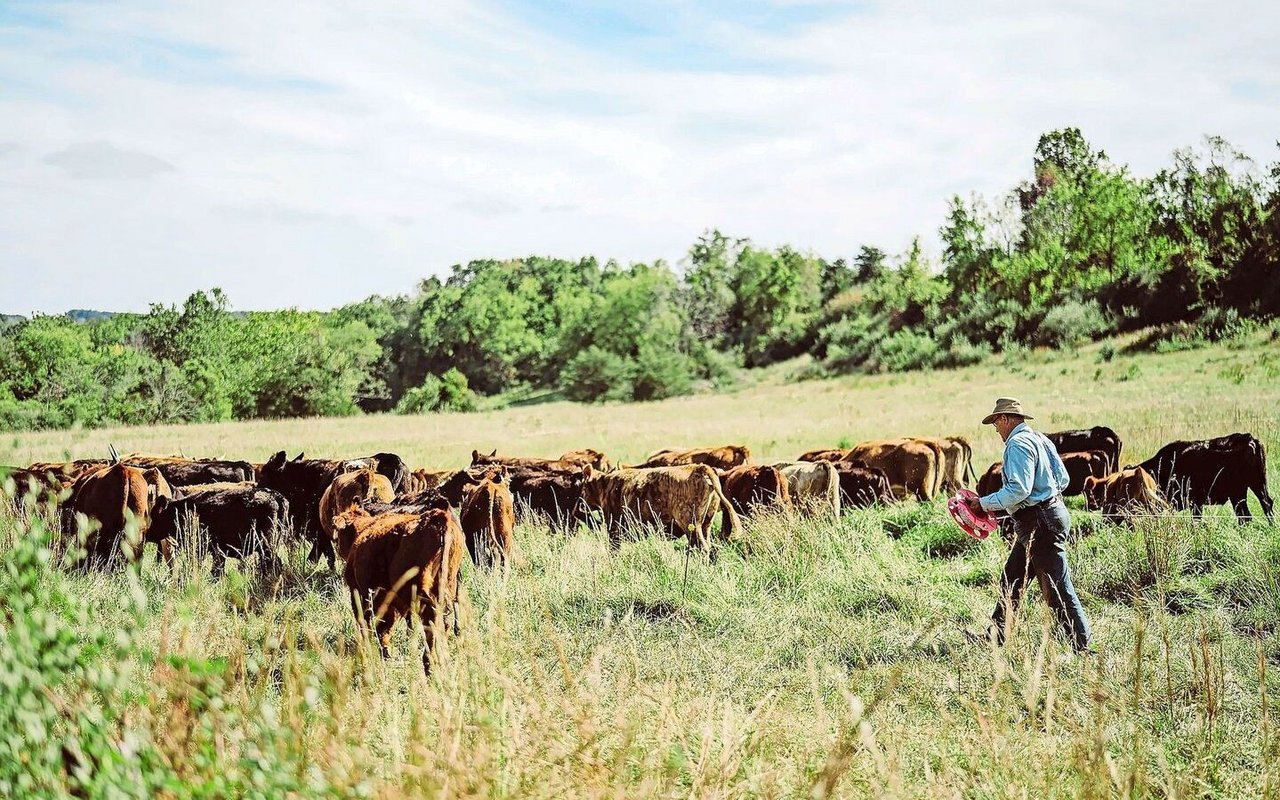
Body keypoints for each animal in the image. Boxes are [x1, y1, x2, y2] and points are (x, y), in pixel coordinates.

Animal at [335, 501, 465, 670]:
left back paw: (429, 662)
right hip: (448, 583)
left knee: (431, 619)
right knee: (444, 619)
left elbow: (369, 623)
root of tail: (437, 518)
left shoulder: (360, 592)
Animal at [581, 460, 742, 547]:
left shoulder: (613, 528)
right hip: (706, 523)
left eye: (583, 488)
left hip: (691, 524)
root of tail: (700, 468)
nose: (581, 506)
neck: (606, 484)